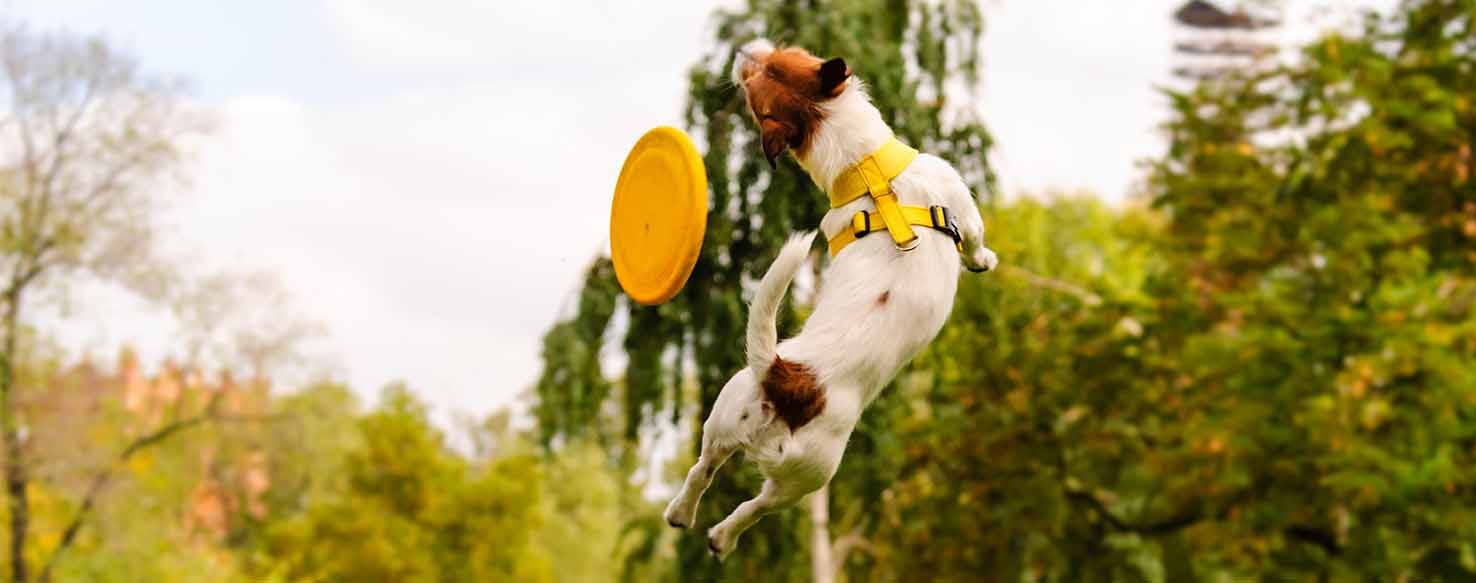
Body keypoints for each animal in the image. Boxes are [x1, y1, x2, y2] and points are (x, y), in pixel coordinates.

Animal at [664, 40, 997, 560]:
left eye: (783, 57)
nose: (742, 49)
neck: (867, 171)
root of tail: (788, 383)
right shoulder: (961, 203)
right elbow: (976, 240)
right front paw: (985, 261)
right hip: (813, 471)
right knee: (756, 506)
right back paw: (722, 536)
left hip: (725, 413)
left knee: (703, 468)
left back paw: (683, 513)